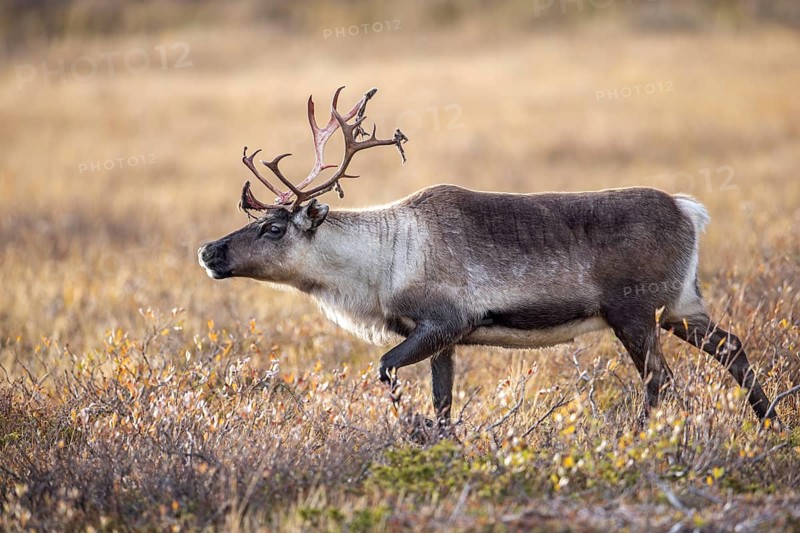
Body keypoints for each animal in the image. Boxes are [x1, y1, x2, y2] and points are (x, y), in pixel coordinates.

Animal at [198, 86, 778, 428]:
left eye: (273, 227)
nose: (208, 250)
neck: (380, 265)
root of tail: (689, 210)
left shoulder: (445, 320)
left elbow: (386, 371)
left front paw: (409, 427)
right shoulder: (443, 338)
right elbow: (443, 401)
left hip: (634, 312)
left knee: (661, 380)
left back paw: (641, 438)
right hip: (680, 306)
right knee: (731, 345)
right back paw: (769, 420)